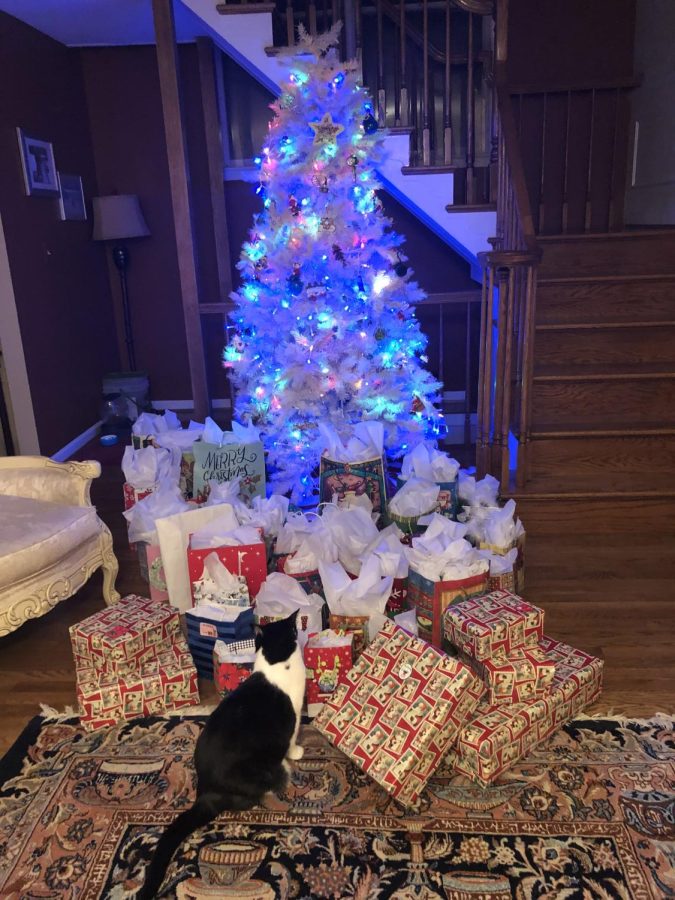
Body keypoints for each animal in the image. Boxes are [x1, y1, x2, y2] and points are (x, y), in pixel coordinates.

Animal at [138, 608, 306, 896]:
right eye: (295, 631)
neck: (277, 660)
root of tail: (204, 794)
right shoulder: (292, 720)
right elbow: (293, 739)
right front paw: (297, 752)